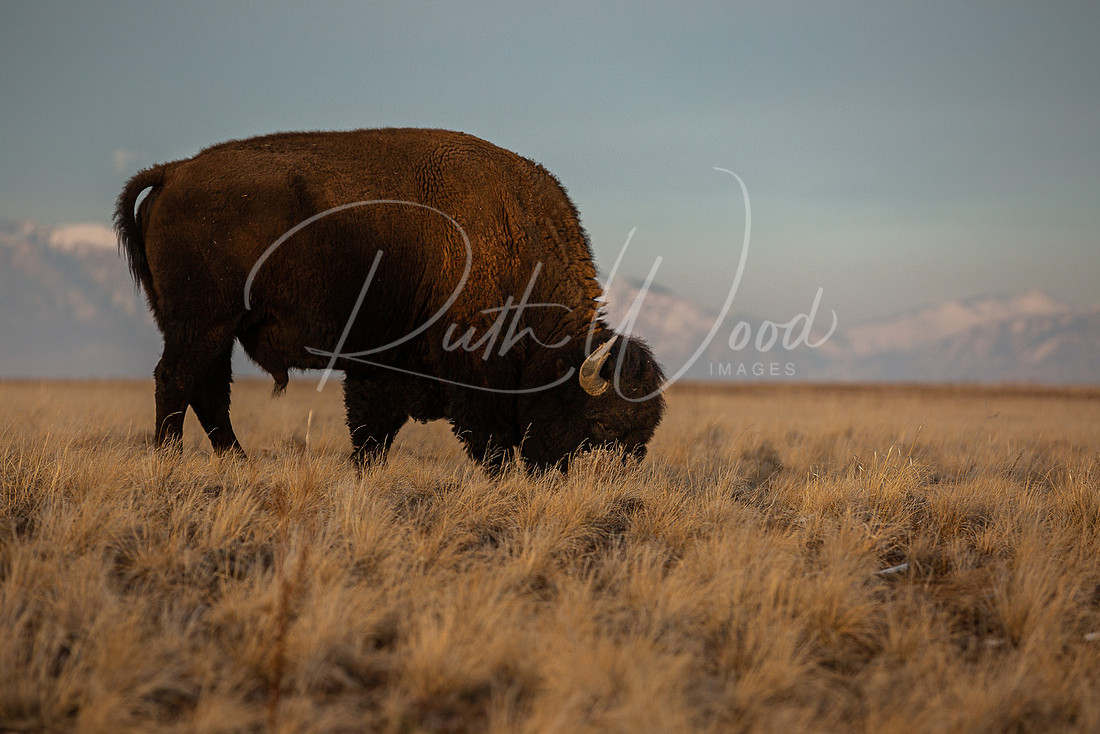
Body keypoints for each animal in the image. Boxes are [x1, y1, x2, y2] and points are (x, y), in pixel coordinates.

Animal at [115, 128, 665, 472]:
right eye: (600, 423)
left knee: (208, 390)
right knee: (177, 380)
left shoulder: (383, 365)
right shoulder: (468, 374)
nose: (607, 480)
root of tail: (175, 171)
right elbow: (484, 440)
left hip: (213, 329)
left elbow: (372, 431)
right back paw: (171, 459)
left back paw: (237, 462)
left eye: (645, 434)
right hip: (204, 323)